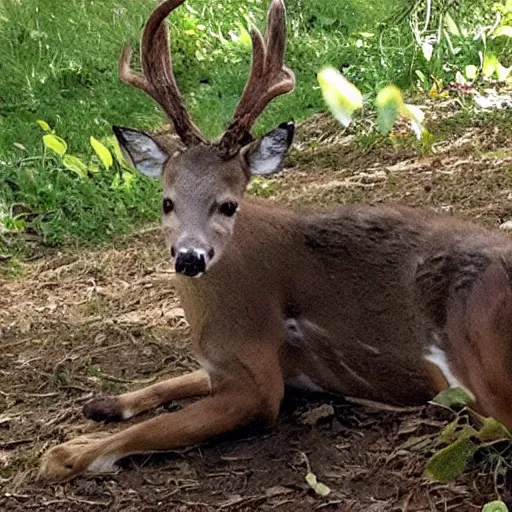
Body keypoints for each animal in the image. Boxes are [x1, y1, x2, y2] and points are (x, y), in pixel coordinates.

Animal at [40, 0, 512, 482]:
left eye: (228, 205)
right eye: (167, 202)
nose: (190, 257)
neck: (209, 318)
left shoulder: (257, 378)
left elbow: (152, 429)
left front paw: (68, 452)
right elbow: (178, 379)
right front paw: (104, 403)